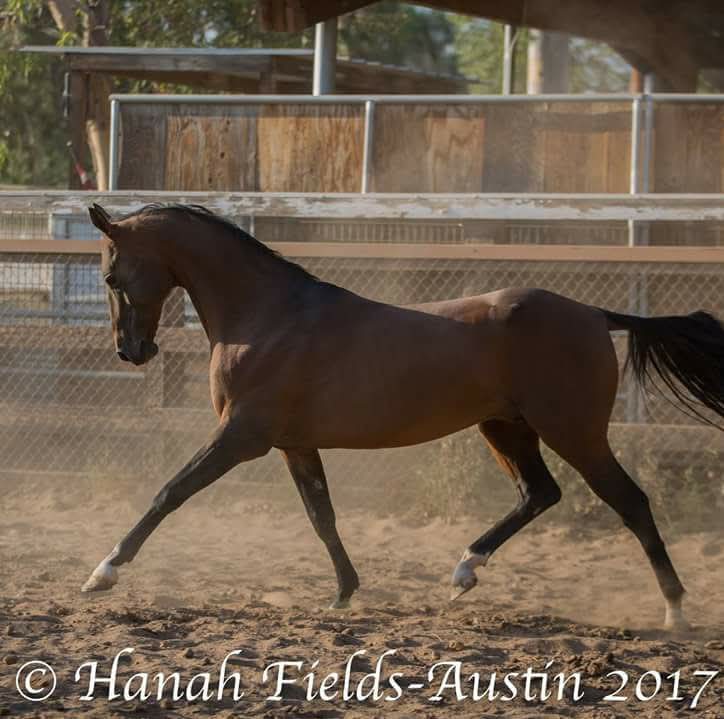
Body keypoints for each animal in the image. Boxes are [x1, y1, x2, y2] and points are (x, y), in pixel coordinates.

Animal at [83, 202, 724, 631]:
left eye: (111, 276)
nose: (130, 352)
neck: (268, 317)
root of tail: (593, 313)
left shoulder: (242, 436)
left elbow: (170, 492)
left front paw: (103, 574)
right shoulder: (294, 444)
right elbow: (322, 517)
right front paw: (344, 594)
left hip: (574, 430)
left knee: (629, 502)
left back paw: (674, 612)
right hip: (506, 428)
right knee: (540, 494)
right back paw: (464, 571)